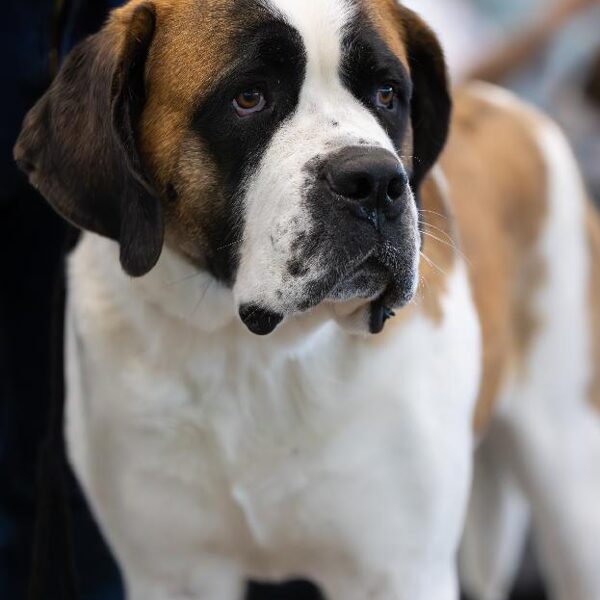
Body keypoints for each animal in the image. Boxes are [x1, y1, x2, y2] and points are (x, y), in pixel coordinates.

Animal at [14, 0, 600, 598]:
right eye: (249, 97)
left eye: (387, 93)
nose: (375, 181)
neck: (247, 355)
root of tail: (509, 106)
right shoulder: (173, 574)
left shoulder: (398, 571)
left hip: (574, 488)